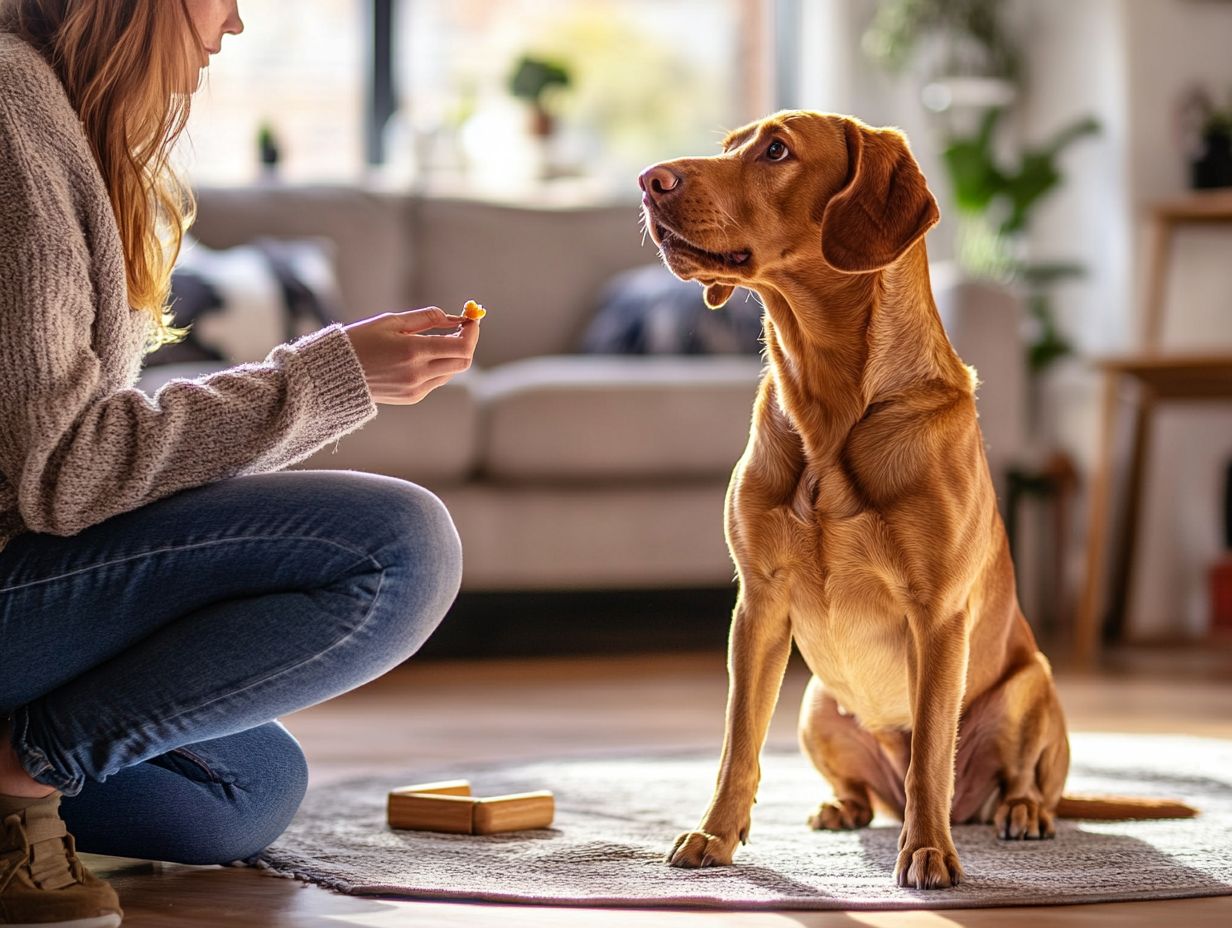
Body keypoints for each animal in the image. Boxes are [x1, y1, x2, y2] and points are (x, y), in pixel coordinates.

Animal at [640, 112, 1197, 887]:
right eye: (728, 146)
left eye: (777, 150)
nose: (648, 179)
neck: (829, 406)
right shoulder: (758, 605)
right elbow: (737, 744)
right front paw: (715, 836)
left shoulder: (936, 617)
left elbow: (931, 750)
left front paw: (929, 852)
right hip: (817, 702)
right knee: (867, 789)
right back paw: (840, 808)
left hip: (1030, 687)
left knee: (1017, 780)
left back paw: (1019, 813)